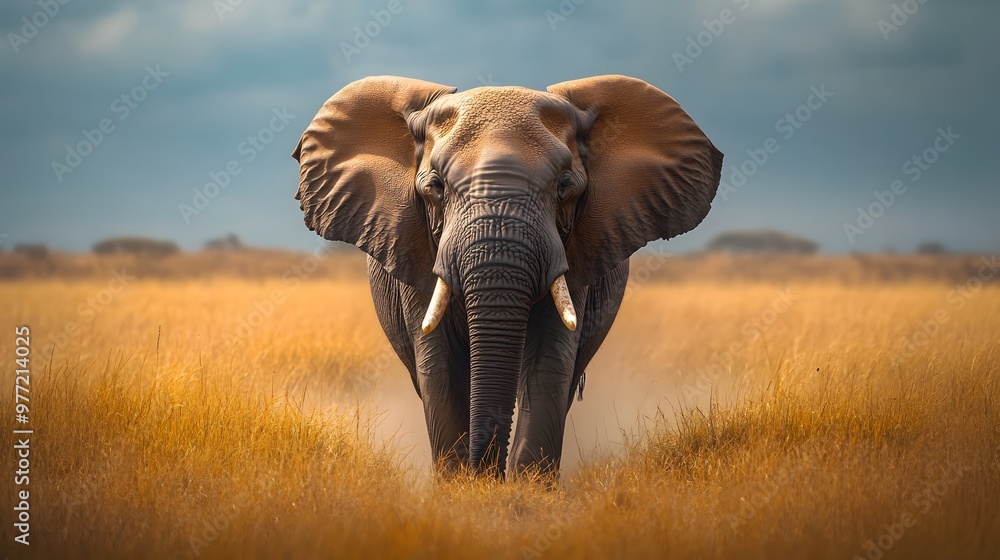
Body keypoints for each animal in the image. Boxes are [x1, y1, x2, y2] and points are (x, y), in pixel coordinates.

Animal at [292, 75, 723, 478]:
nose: (487, 471)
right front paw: (461, 487)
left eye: (565, 187)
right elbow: (439, 366)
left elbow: (550, 362)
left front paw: (527, 490)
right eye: (436, 187)